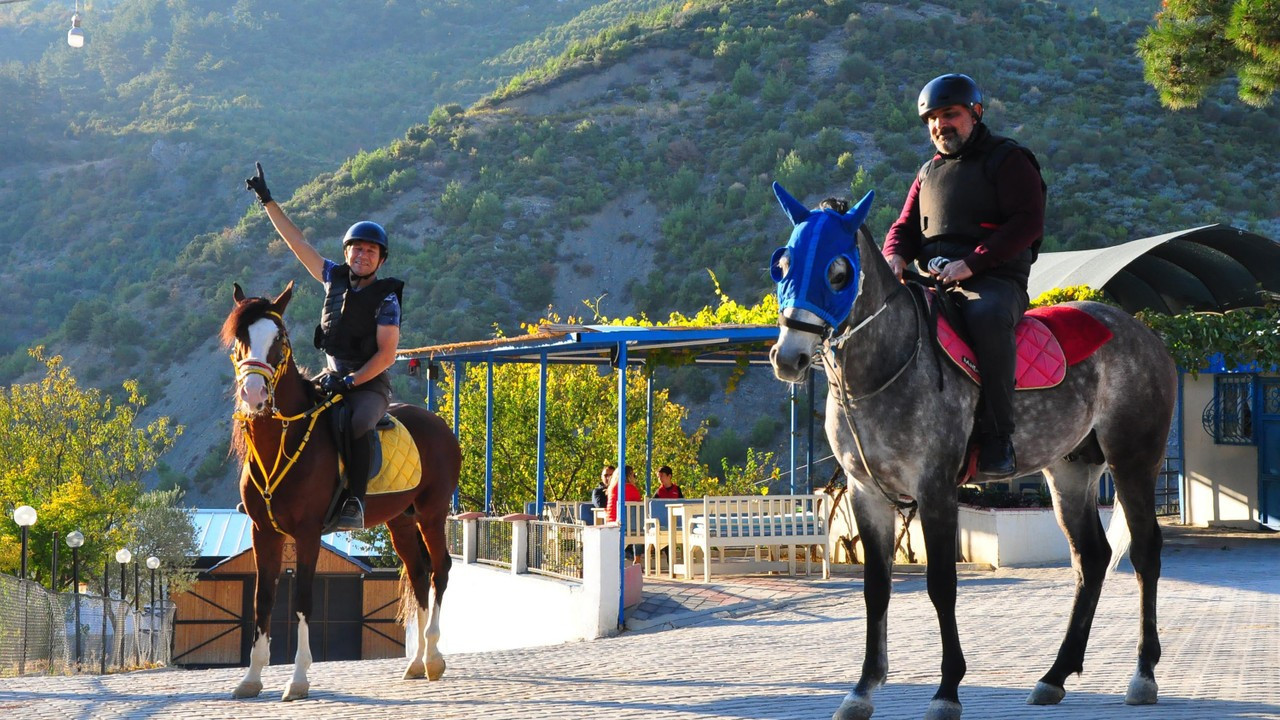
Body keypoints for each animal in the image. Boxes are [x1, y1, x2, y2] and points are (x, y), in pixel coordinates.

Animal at [222, 283, 463, 696]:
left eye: (280, 339)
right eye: (241, 339)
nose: (254, 393)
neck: (282, 443)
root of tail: (438, 425)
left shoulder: (307, 533)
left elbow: (302, 599)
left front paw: (299, 680)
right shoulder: (263, 532)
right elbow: (262, 599)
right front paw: (251, 679)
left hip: (432, 514)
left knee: (440, 571)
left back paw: (432, 658)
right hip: (401, 521)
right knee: (417, 574)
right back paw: (416, 663)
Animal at [762, 183, 1172, 717]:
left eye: (838, 272)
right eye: (783, 265)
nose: (788, 357)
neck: (885, 365)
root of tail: (1147, 334)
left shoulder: (936, 490)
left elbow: (941, 585)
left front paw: (947, 690)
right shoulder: (865, 494)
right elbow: (876, 589)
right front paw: (863, 688)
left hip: (1133, 463)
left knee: (1144, 554)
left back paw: (1142, 675)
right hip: (1070, 473)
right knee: (1092, 558)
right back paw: (1055, 675)